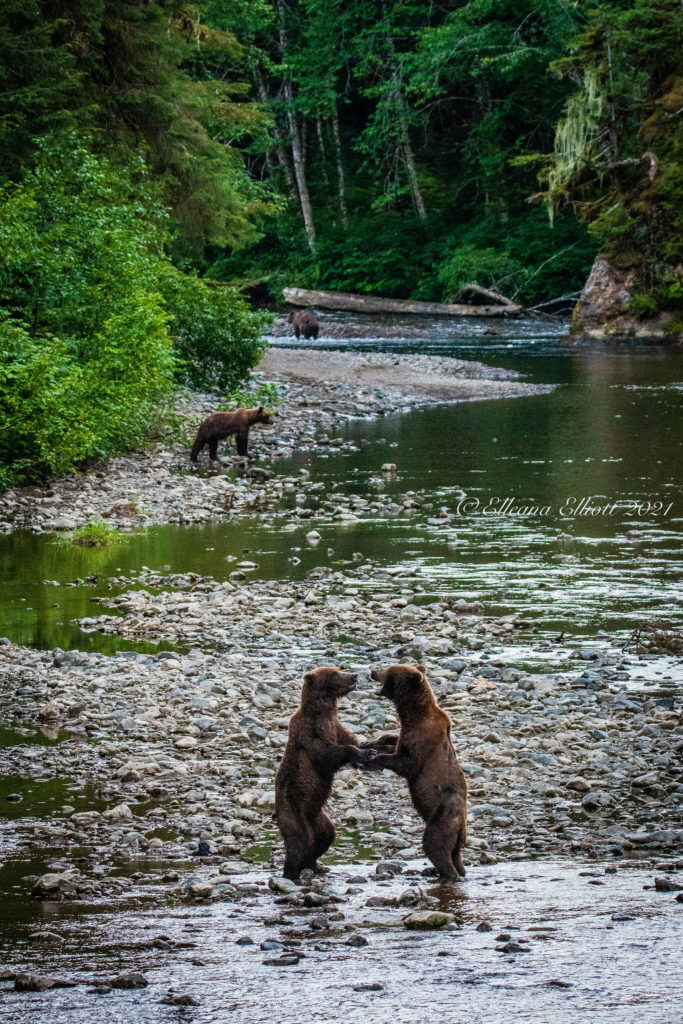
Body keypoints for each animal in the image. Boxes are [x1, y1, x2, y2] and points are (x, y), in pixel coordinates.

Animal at [275, 666, 379, 880]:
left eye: (338, 669)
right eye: (333, 673)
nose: (354, 675)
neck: (323, 711)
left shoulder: (334, 725)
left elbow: (353, 740)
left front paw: (371, 747)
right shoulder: (310, 731)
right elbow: (326, 754)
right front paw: (361, 753)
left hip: (318, 817)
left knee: (325, 836)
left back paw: (316, 866)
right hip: (293, 810)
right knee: (299, 842)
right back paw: (292, 873)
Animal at [367, 664, 467, 880]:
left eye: (388, 670)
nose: (372, 671)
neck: (414, 713)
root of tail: (462, 825)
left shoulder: (423, 736)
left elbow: (407, 762)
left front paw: (376, 757)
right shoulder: (407, 730)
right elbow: (394, 740)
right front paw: (373, 742)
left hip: (442, 816)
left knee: (434, 844)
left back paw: (444, 873)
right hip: (455, 834)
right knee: (455, 854)